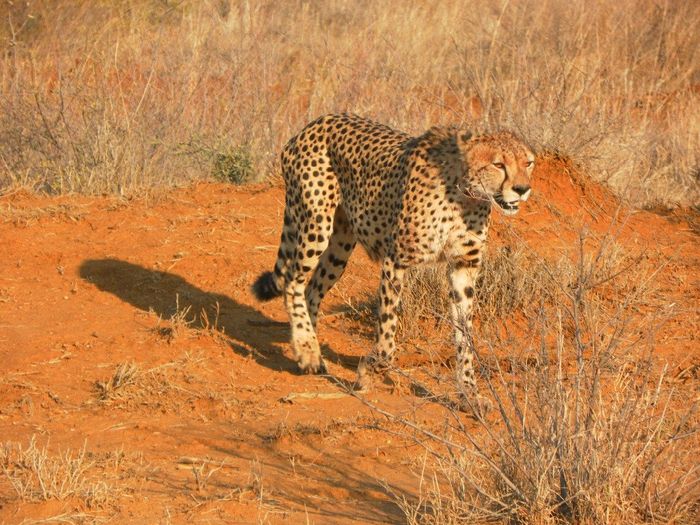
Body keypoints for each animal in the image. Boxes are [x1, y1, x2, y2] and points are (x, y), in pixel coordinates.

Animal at [252, 113, 534, 414]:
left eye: (528, 163)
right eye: (498, 164)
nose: (522, 189)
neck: (464, 195)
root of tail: (316, 122)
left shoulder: (463, 267)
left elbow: (465, 334)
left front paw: (469, 393)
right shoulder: (395, 259)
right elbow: (387, 334)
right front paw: (367, 372)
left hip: (341, 243)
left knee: (311, 290)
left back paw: (306, 348)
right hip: (315, 224)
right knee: (293, 281)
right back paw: (307, 350)